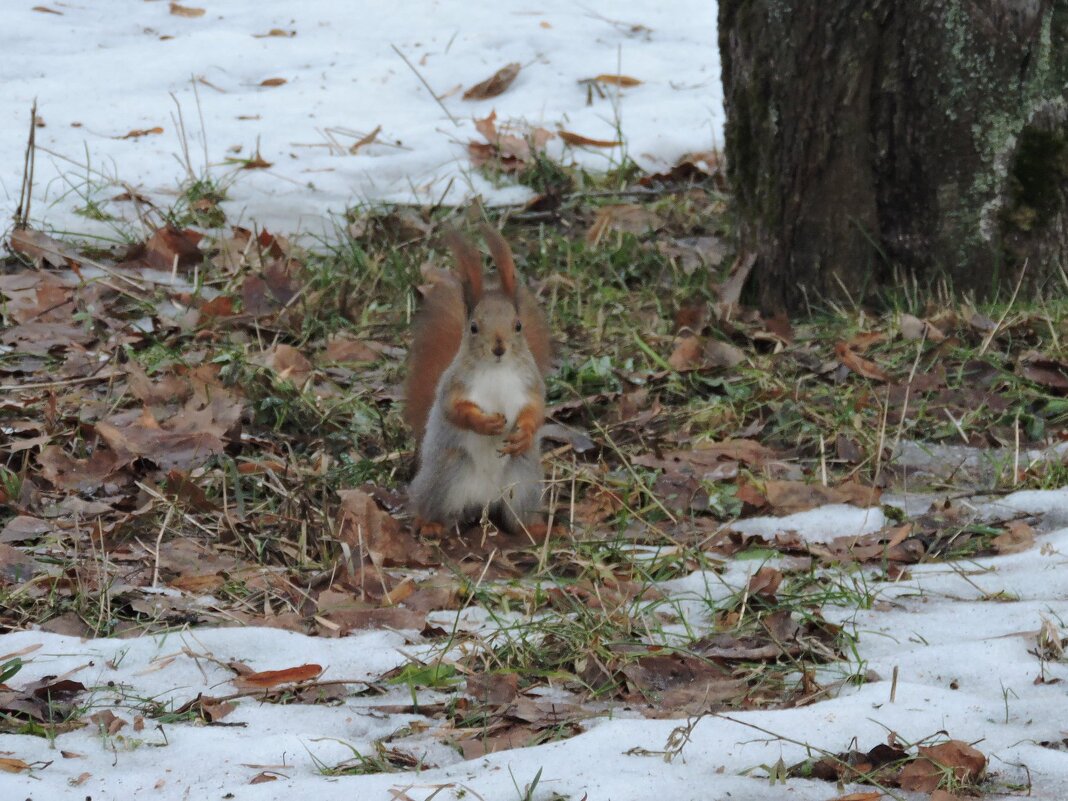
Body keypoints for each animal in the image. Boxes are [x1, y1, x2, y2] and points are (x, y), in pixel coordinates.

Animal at [401, 227, 551, 540]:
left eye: (518, 325)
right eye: (473, 327)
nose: (499, 348)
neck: (497, 370)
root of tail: (485, 499)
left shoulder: (531, 385)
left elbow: (536, 411)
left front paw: (523, 433)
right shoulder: (454, 384)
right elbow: (453, 410)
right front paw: (484, 423)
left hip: (524, 482)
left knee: (517, 520)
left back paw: (537, 528)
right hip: (444, 477)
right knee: (432, 508)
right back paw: (430, 524)